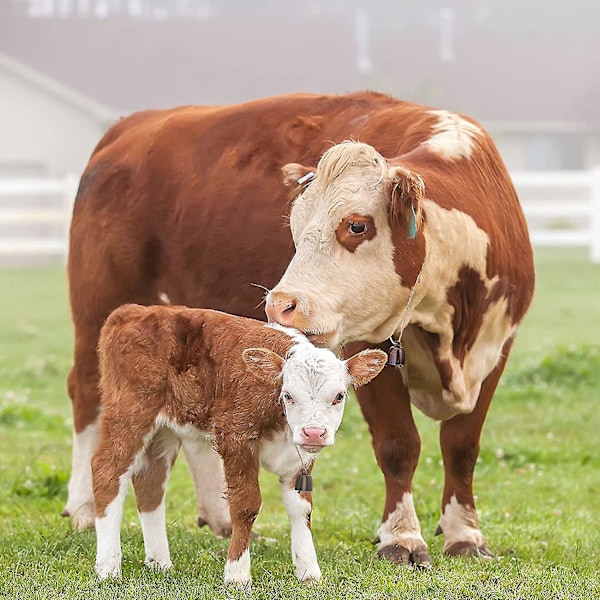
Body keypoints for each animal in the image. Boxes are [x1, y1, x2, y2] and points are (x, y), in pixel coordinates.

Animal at [92, 302, 386, 584]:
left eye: (339, 396)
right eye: (288, 395)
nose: (314, 433)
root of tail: (133, 311)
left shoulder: (299, 458)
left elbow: (302, 509)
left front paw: (309, 572)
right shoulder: (236, 437)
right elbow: (246, 505)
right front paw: (237, 574)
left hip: (164, 430)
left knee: (150, 481)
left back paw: (160, 563)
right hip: (129, 413)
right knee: (106, 471)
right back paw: (108, 567)